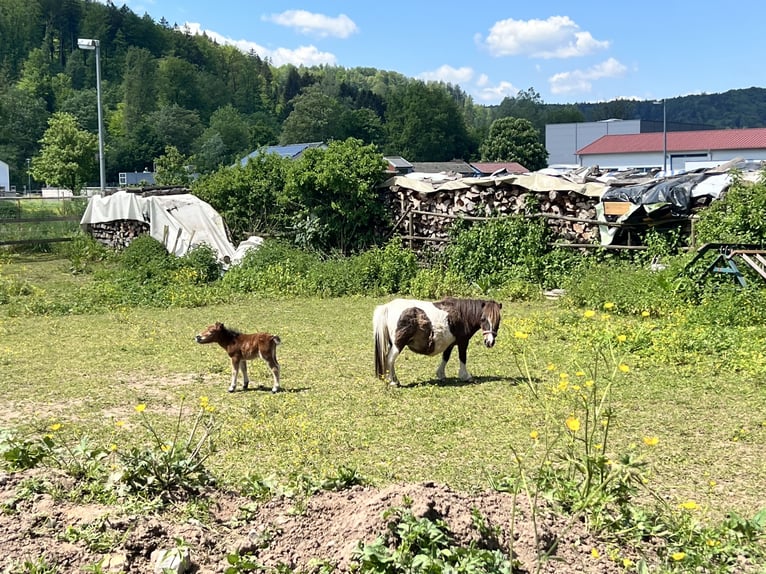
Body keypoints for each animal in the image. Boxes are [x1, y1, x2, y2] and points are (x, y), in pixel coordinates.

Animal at [374, 296, 504, 388]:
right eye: (483, 319)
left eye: (498, 320)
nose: (489, 342)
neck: (462, 316)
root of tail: (388, 307)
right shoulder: (463, 342)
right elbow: (463, 358)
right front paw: (465, 376)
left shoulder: (450, 343)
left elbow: (445, 357)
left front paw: (441, 375)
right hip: (398, 344)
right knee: (390, 359)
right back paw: (393, 382)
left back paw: (393, 380)